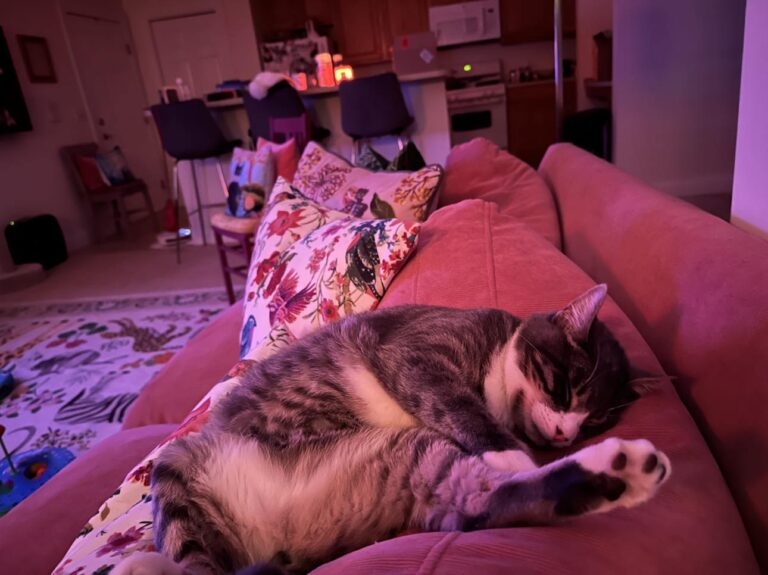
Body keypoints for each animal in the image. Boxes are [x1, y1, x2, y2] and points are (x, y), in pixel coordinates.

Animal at [115, 284, 672, 575]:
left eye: (596, 419)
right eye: (566, 389)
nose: (566, 435)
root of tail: (284, 541)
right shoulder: (414, 354)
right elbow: (456, 403)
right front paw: (510, 450)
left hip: (406, 461)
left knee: (480, 507)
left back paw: (622, 472)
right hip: (177, 459)